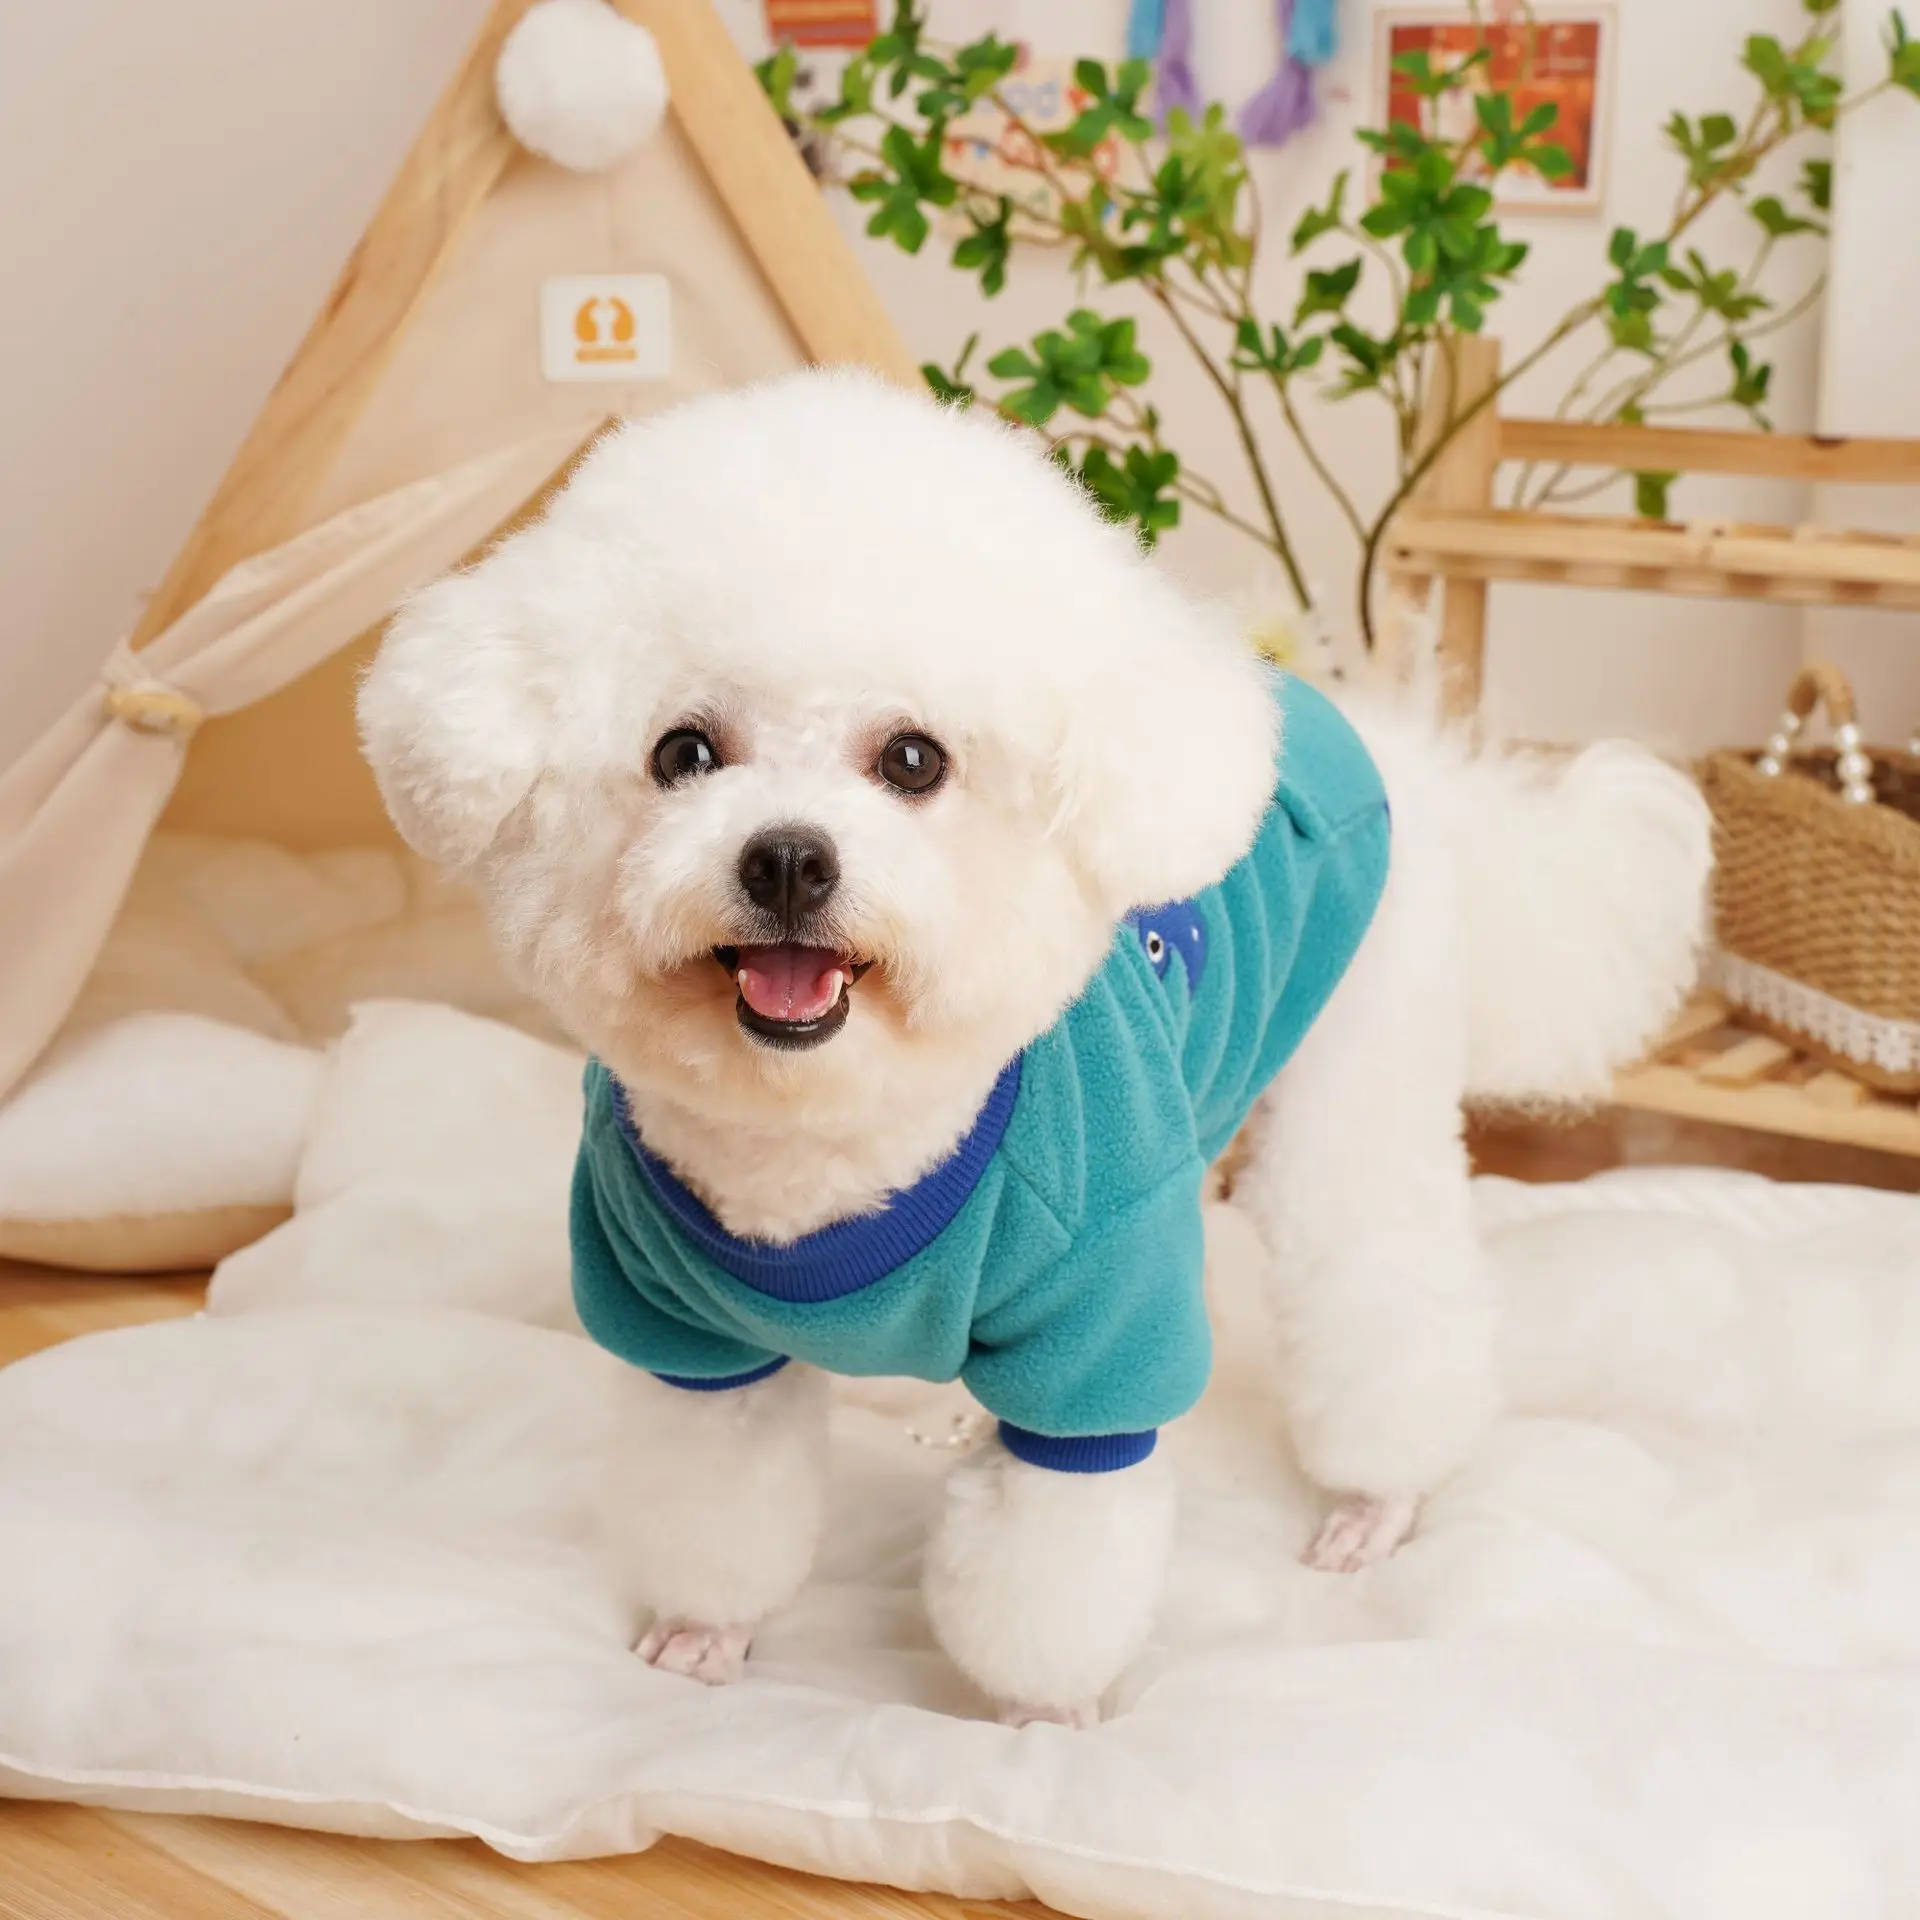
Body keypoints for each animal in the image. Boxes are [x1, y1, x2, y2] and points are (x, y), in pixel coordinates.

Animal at [359, 371, 1711, 1725]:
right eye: (682, 753)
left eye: (913, 760)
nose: (789, 858)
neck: (834, 1148)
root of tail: (1395, 751)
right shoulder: (689, 1341)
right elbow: (717, 1505)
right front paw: (708, 1632)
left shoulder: (1097, 1336)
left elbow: (1052, 1564)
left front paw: (1041, 1716)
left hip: (1357, 1073)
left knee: (1385, 1289)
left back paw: (1377, 1499)